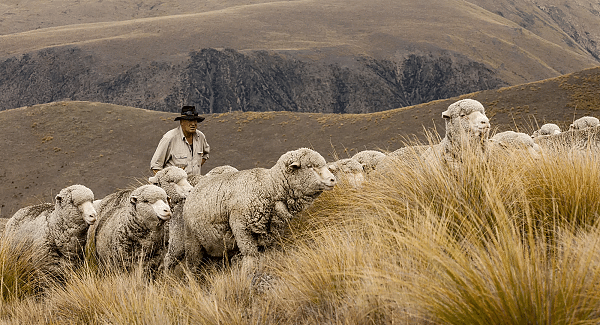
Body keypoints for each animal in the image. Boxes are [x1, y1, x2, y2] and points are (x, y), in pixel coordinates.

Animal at [178, 147, 338, 270]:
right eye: (310, 166)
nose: (333, 179)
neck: (269, 187)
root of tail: (195, 188)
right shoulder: (241, 228)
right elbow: (251, 255)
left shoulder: (270, 234)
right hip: (192, 241)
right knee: (192, 266)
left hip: (217, 246)